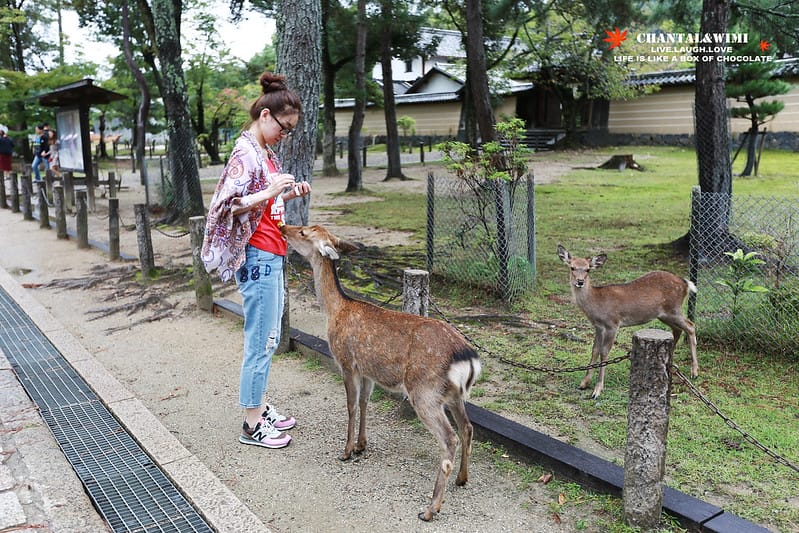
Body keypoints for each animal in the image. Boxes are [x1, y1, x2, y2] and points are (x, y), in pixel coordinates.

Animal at [282, 224, 482, 522]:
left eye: (305, 232)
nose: (283, 227)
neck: (336, 311)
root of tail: (467, 357)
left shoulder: (346, 362)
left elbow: (351, 406)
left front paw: (346, 451)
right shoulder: (367, 372)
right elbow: (365, 403)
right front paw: (362, 445)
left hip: (425, 392)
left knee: (450, 439)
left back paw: (430, 509)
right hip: (454, 395)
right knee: (467, 428)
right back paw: (462, 479)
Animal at [557, 245, 698, 399]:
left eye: (588, 269)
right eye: (572, 267)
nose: (580, 282)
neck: (596, 303)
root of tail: (685, 283)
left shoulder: (612, 323)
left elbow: (604, 352)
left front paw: (597, 390)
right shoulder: (598, 326)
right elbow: (594, 350)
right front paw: (584, 383)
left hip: (674, 309)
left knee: (691, 326)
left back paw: (694, 372)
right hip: (664, 315)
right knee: (678, 330)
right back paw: (669, 363)